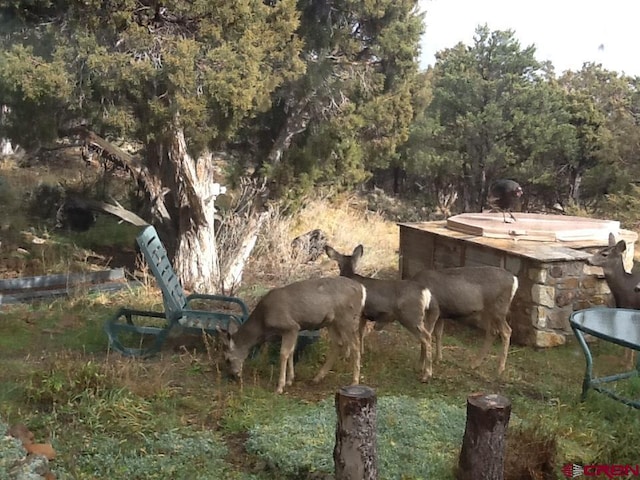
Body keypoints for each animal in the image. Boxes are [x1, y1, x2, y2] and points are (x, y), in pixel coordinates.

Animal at [218, 278, 364, 394]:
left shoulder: (290, 326)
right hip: (332, 322)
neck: (263, 322)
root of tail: (362, 289)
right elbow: (291, 351)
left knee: (355, 345)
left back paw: (354, 381)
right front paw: (290, 379)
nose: (234, 375)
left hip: (347, 318)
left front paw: (280, 386)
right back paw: (317, 377)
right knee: (338, 343)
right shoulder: (293, 330)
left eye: (227, 359)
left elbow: (283, 354)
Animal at [324, 246, 440, 380]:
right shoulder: (363, 314)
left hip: (411, 316)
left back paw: (427, 374)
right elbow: (361, 332)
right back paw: (420, 367)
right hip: (423, 317)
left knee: (426, 338)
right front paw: (362, 351)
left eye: (338, 263)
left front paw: (346, 355)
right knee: (426, 337)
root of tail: (425, 292)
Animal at [592, 232, 640, 368]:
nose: (588, 260)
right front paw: (624, 361)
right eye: (598, 250)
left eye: (604, 254)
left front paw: (628, 364)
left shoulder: (632, 309)